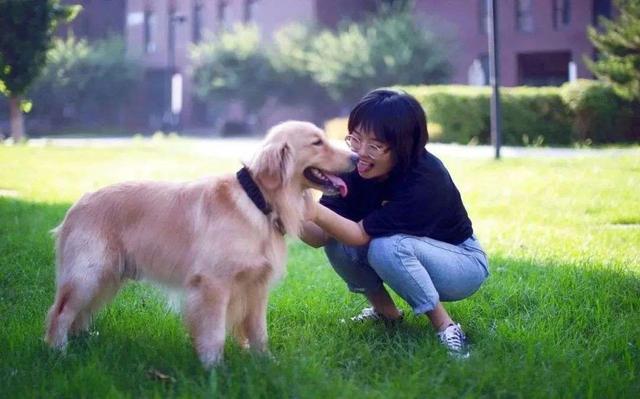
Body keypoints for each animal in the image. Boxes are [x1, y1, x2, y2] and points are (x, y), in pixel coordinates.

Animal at [44, 120, 358, 368]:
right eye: (317, 142)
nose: (356, 157)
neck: (257, 200)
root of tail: (76, 205)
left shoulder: (257, 286)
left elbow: (259, 331)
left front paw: (265, 363)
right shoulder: (213, 284)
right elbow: (215, 333)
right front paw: (213, 369)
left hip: (107, 278)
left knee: (80, 314)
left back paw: (83, 341)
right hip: (88, 275)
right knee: (59, 313)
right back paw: (59, 352)